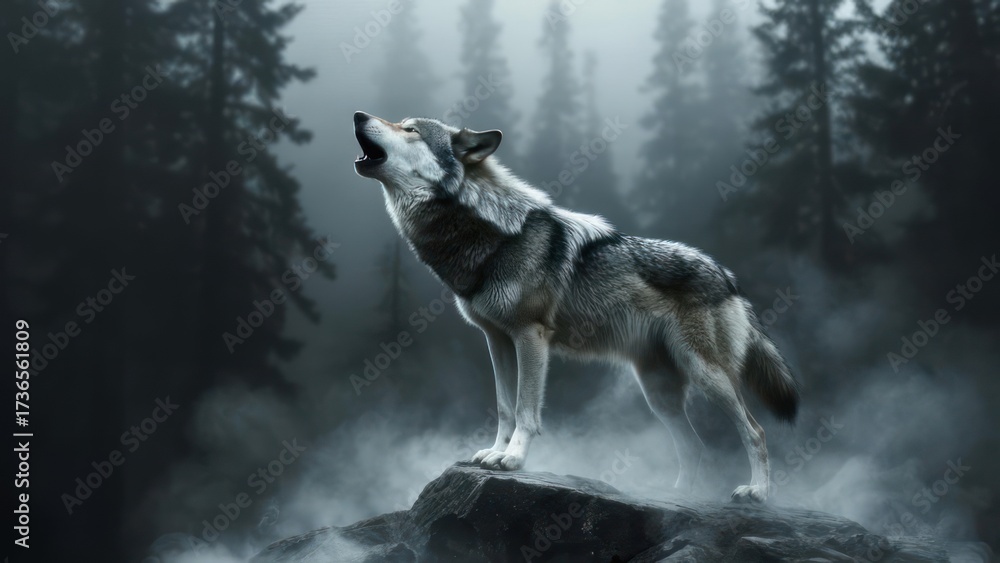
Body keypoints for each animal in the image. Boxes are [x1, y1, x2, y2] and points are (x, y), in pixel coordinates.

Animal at [352, 111, 799, 502]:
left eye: (410, 129)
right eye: (400, 122)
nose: (357, 115)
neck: (490, 233)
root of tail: (728, 276)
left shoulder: (530, 336)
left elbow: (525, 410)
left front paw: (513, 459)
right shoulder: (497, 340)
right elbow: (503, 408)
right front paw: (494, 451)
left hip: (707, 375)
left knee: (755, 432)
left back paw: (757, 493)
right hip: (659, 393)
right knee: (695, 447)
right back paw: (679, 497)